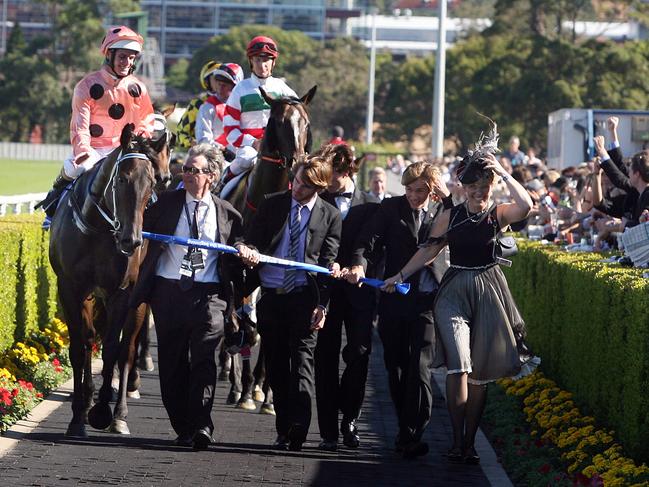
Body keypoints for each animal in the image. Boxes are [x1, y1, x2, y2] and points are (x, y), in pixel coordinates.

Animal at [49, 124, 171, 436]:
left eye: (151, 184)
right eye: (122, 179)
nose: (132, 240)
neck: (98, 229)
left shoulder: (121, 292)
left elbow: (113, 349)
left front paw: (103, 411)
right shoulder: (71, 288)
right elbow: (80, 346)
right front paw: (79, 414)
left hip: (138, 297)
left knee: (127, 348)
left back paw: (120, 413)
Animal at [220, 86, 316, 414]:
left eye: (306, 123)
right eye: (278, 122)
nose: (297, 160)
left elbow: (264, 329)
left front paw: (265, 393)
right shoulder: (235, 271)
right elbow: (244, 325)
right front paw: (244, 390)